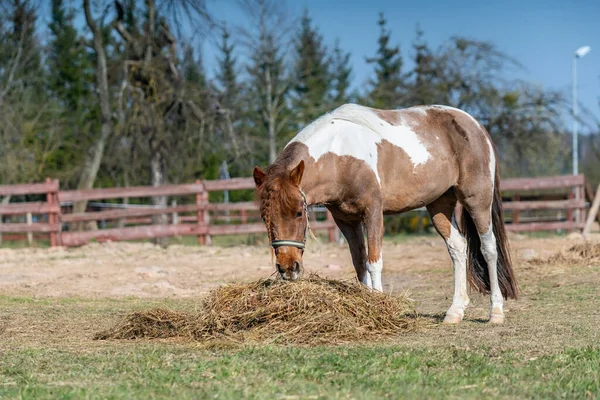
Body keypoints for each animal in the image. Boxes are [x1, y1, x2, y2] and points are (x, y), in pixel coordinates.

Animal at [251, 104, 516, 324]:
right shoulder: (346, 220)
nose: (288, 268)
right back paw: (455, 312)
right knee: (458, 247)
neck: (339, 156)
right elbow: (359, 263)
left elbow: (374, 262)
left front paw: (378, 305)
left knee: (488, 249)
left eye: (299, 213)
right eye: (265, 218)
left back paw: (496, 311)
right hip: (439, 206)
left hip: (477, 201)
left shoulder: (373, 213)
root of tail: (476, 126)